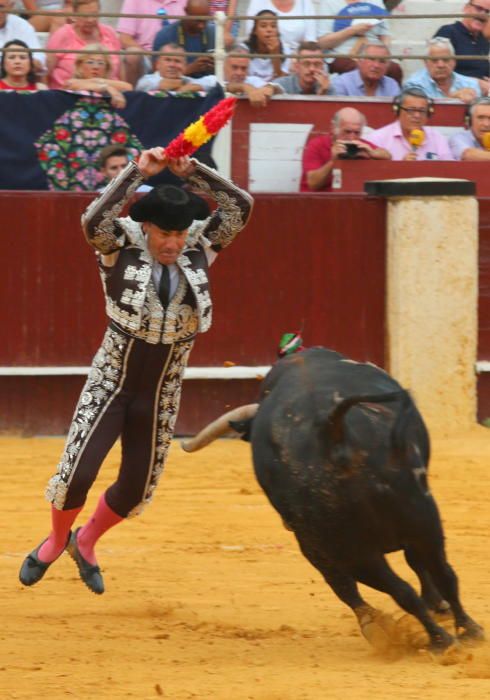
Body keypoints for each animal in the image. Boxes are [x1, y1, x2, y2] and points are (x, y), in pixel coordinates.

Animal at [182, 348, 484, 652]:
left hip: (349, 541)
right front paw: (437, 608)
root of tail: (332, 430)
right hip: (414, 521)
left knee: (391, 584)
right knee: (433, 574)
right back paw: (460, 634)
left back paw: (430, 634)